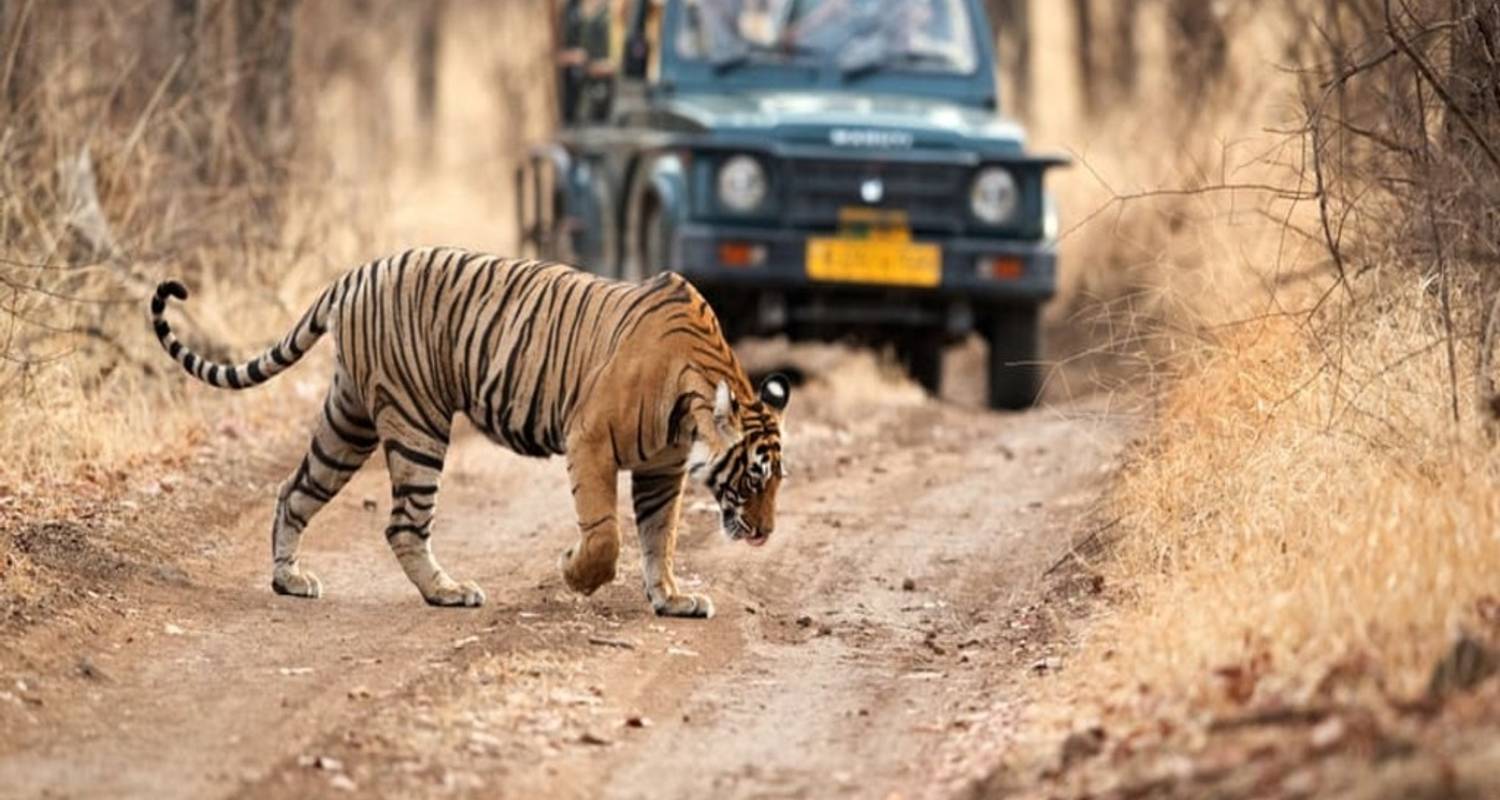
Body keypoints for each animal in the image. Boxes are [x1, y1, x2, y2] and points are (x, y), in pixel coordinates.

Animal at [146, 247, 792, 618]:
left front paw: (672, 598)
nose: (765, 534)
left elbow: (662, 537)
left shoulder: (662, 468)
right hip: (417, 421)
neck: (693, 397)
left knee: (294, 490)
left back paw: (289, 579)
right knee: (402, 524)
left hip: (349, 419)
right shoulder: (589, 439)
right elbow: (607, 534)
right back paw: (447, 592)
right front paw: (573, 571)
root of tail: (355, 274)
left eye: (778, 480)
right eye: (754, 476)